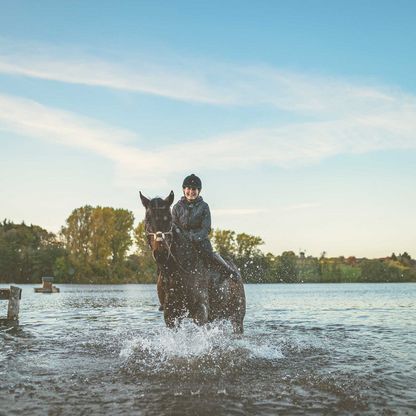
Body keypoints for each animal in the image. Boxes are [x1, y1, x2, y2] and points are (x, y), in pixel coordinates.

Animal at [140, 190, 245, 334]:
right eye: (147, 219)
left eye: (168, 219)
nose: (161, 253)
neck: (176, 273)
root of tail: (235, 269)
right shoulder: (170, 314)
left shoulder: (200, 311)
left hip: (237, 317)